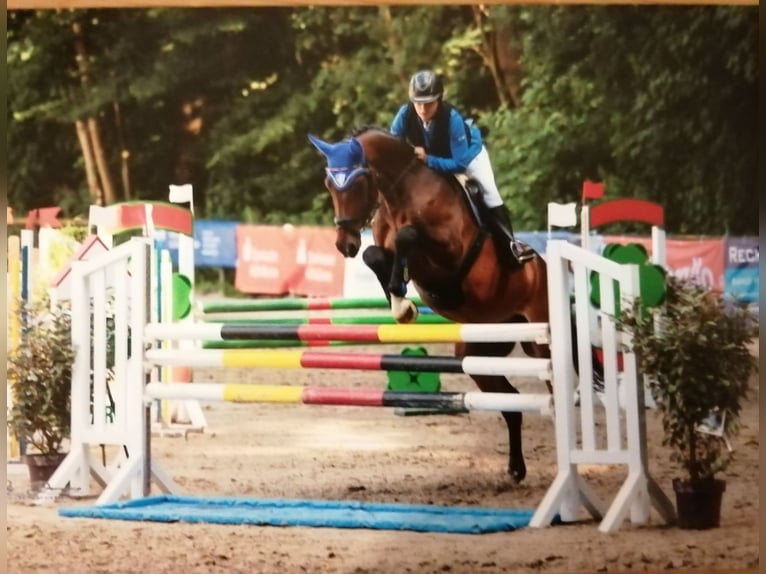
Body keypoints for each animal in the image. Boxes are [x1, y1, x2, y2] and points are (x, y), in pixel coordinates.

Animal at [308, 126, 558, 483]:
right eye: (330, 184)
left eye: (357, 183)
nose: (345, 245)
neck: (401, 194)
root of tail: (544, 268)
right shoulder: (386, 248)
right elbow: (376, 255)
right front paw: (400, 302)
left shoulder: (449, 252)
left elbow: (407, 237)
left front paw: (402, 297)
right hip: (478, 351)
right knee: (510, 401)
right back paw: (515, 469)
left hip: (541, 341)